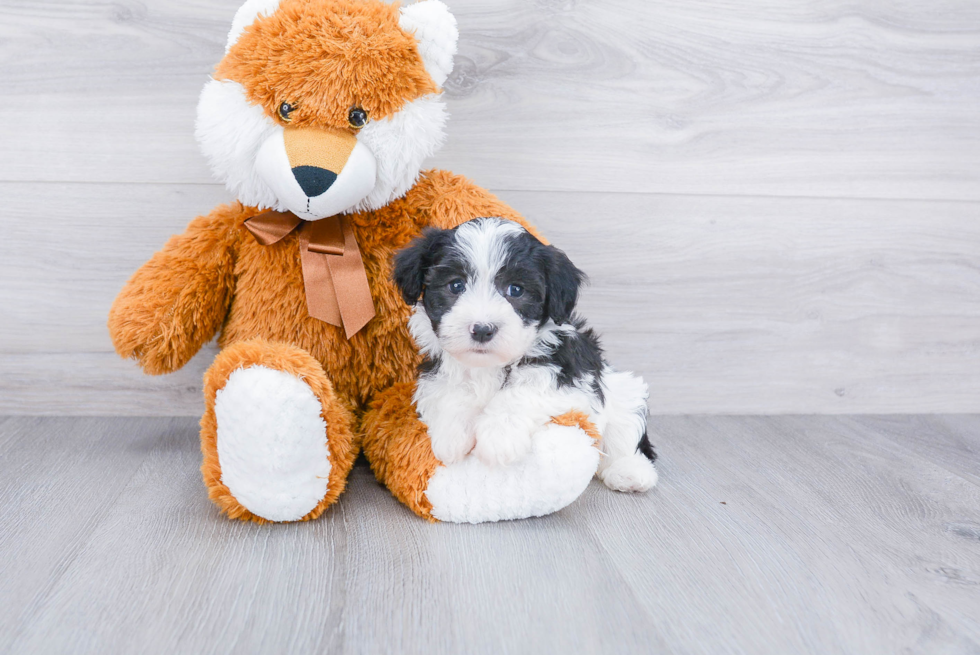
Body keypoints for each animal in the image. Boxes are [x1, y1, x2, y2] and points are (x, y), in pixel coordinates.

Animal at [392, 217, 660, 492]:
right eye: (456, 285)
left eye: (516, 290)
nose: (482, 329)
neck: (489, 365)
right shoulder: (437, 372)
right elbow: (453, 390)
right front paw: (451, 434)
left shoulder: (569, 374)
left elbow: (523, 391)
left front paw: (499, 436)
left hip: (624, 391)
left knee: (627, 432)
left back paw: (629, 472)